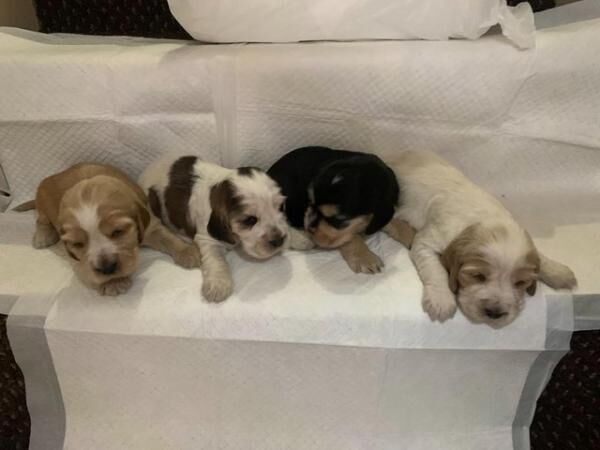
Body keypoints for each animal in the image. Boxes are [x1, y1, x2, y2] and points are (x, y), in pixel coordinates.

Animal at [17, 163, 202, 298]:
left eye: (118, 232)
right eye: (78, 244)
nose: (107, 269)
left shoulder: (150, 225)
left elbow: (168, 238)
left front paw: (189, 252)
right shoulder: (76, 257)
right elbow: (84, 267)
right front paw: (113, 283)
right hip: (42, 200)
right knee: (41, 220)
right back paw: (42, 236)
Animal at [138, 154, 288, 302]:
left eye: (281, 207)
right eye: (250, 220)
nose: (279, 240)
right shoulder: (207, 239)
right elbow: (216, 260)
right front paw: (218, 284)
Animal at [268, 148, 412, 274]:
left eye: (337, 219)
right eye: (310, 202)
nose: (309, 229)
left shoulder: (386, 208)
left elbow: (394, 221)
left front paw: (412, 238)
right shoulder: (340, 235)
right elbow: (350, 238)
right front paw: (365, 258)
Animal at [390, 150, 576, 326]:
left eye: (520, 282)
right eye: (478, 276)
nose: (494, 313)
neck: (485, 220)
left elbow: (539, 256)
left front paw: (559, 272)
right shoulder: (426, 241)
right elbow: (436, 269)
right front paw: (441, 300)